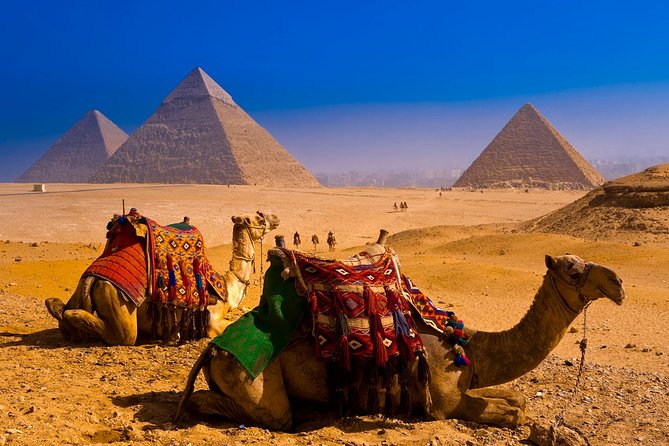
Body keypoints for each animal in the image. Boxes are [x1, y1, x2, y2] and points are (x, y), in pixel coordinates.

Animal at [45, 212, 279, 346]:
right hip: (117, 302)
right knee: (121, 336)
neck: (228, 288)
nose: (275, 219)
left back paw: (59, 310)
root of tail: (93, 278)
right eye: (259, 219)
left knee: (62, 313)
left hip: (82, 286)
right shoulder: (211, 320)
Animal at [176, 245, 625, 430]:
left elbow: (517, 399)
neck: (468, 347)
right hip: (250, 380)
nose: (617, 282)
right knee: (253, 412)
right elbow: (514, 413)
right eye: (573, 271)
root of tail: (211, 349)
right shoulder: (444, 403)